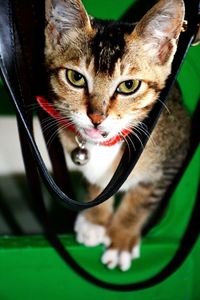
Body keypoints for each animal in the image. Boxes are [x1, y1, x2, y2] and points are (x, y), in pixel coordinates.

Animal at [44, 0, 191, 272]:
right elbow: (96, 184)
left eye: (128, 86)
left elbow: (141, 199)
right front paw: (96, 221)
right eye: (76, 78)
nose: (96, 117)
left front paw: (121, 239)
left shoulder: (174, 155)